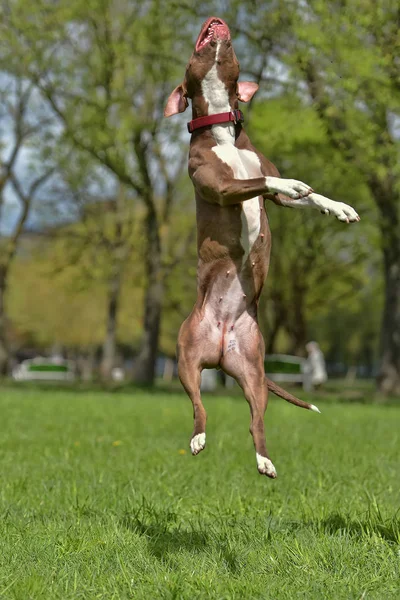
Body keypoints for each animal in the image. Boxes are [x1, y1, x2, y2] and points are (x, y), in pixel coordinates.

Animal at [164, 17, 358, 478]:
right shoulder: (222, 186)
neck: (222, 129)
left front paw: (339, 207)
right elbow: (268, 182)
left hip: (253, 372)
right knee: (198, 407)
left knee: (256, 422)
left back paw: (265, 462)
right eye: (196, 50)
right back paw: (198, 438)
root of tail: (219, 350)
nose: (215, 20)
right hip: (186, 360)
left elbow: (307, 196)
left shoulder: (267, 190)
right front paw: (294, 182)